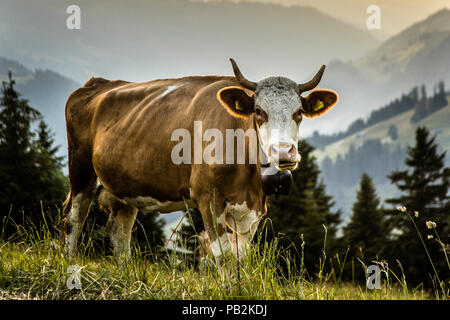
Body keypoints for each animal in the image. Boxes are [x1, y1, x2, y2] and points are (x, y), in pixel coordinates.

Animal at [63, 58, 338, 262]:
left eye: (299, 112)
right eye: (259, 111)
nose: (283, 152)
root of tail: (96, 83)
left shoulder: (254, 209)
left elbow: (241, 257)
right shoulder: (208, 197)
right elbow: (223, 255)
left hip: (126, 188)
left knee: (119, 232)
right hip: (80, 169)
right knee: (73, 219)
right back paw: (69, 269)